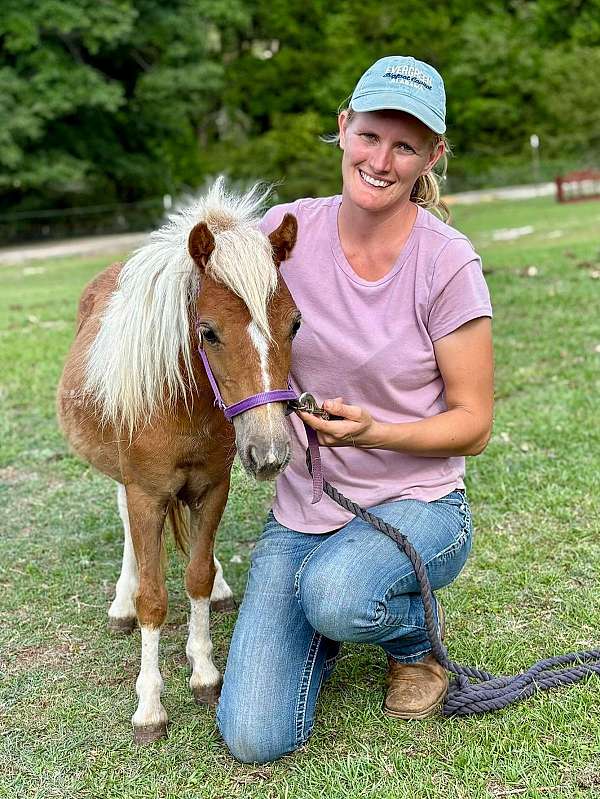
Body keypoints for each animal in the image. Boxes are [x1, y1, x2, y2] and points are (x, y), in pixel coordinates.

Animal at [57, 179, 300, 743]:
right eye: (208, 331)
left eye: (295, 324)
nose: (270, 452)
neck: (181, 407)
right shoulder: (146, 493)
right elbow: (154, 597)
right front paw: (150, 705)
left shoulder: (212, 489)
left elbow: (197, 576)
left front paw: (204, 671)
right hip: (124, 479)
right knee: (126, 523)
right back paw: (120, 603)